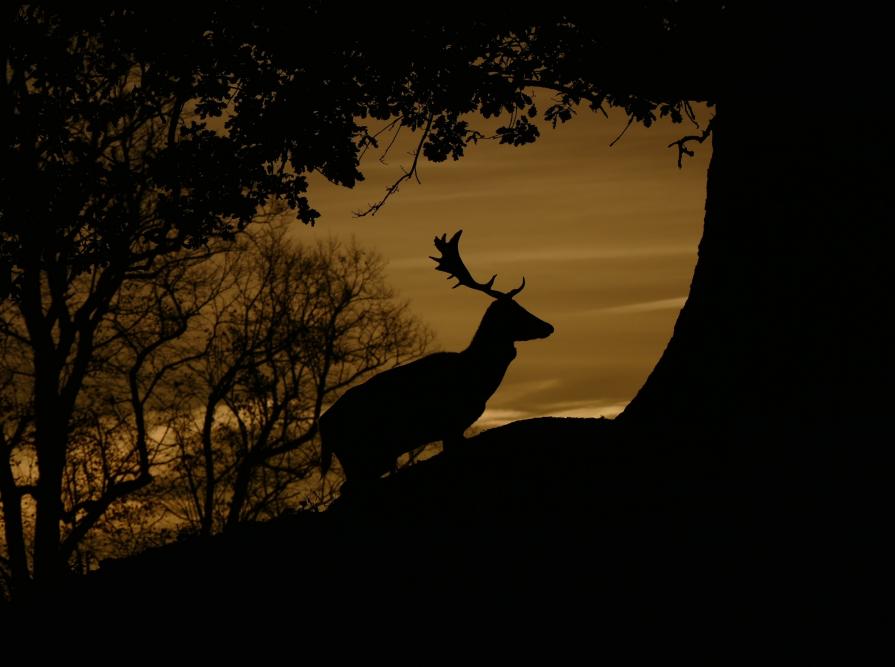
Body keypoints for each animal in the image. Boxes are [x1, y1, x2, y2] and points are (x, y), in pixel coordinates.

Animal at [319, 230, 554, 493]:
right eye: (516, 311)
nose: (548, 326)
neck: (479, 379)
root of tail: (323, 425)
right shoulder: (451, 423)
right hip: (362, 454)